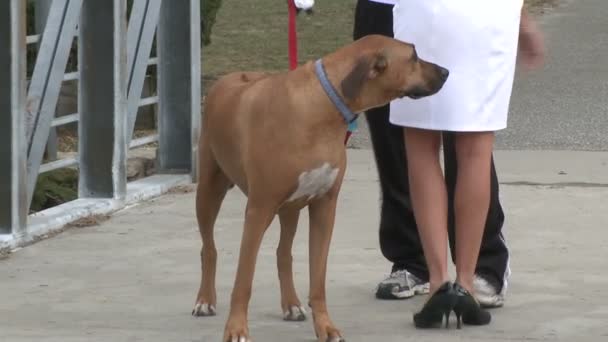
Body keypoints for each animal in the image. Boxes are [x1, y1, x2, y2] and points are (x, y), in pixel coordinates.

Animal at [192, 35, 448, 342]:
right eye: (413, 56)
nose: (446, 72)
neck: (324, 104)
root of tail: (226, 79)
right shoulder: (258, 208)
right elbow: (244, 279)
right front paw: (236, 329)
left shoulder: (325, 207)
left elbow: (318, 280)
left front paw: (325, 327)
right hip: (209, 191)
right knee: (208, 248)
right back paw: (204, 300)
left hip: (289, 208)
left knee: (283, 253)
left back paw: (291, 304)